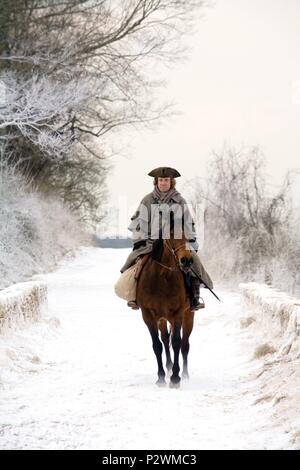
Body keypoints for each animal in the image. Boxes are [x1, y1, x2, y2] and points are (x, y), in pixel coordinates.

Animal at [136, 229, 195, 388]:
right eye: (171, 233)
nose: (187, 261)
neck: (162, 277)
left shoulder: (178, 314)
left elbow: (176, 342)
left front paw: (175, 378)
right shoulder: (148, 316)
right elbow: (157, 345)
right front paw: (161, 377)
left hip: (188, 316)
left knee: (185, 344)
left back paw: (185, 374)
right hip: (162, 319)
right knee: (164, 339)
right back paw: (168, 368)